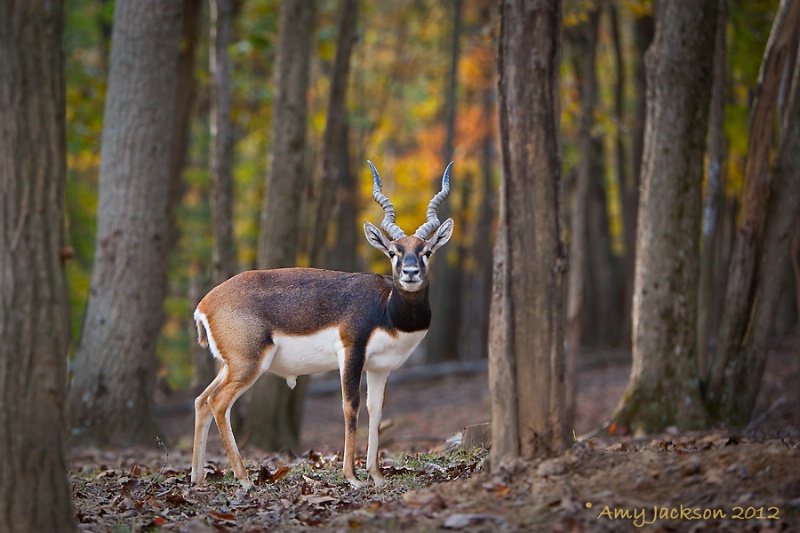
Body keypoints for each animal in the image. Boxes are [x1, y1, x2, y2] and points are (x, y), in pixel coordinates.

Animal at [191, 160, 454, 488]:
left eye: (426, 251)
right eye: (393, 251)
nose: (410, 272)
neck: (387, 309)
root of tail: (204, 304)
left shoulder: (380, 368)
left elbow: (376, 412)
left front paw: (377, 476)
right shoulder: (351, 353)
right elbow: (351, 406)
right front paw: (352, 477)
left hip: (230, 365)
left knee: (201, 400)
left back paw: (197, 478)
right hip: (248, 364)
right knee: (218, 403)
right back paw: (245, 479)